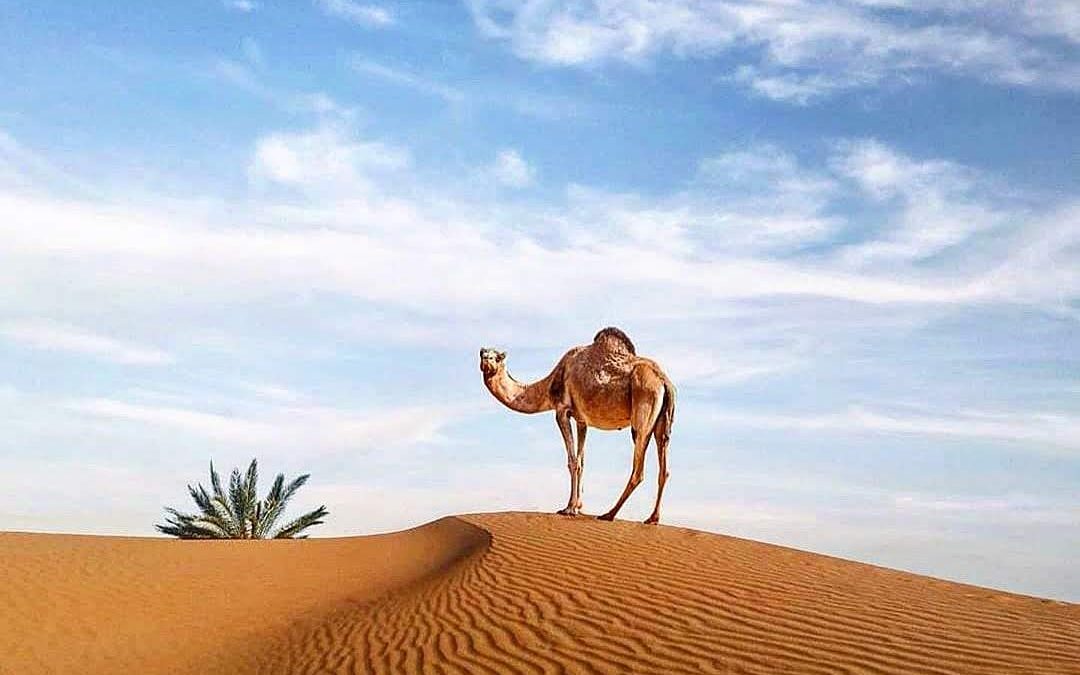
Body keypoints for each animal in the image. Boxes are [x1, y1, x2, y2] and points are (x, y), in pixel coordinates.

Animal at [481, 328, 673, 524]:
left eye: (497, 357)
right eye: (482, 354)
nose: (486, 360)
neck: (549, 386)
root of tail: (664, 381)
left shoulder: (561, 411)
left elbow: (572, 461)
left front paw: (569, 508)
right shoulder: (582, 420)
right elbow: (581, 461)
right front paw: (578, 506)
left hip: (643, 411)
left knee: (638, 469)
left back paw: (609, 514)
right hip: (662, 422)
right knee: (663, 467)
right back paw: (652, 518)